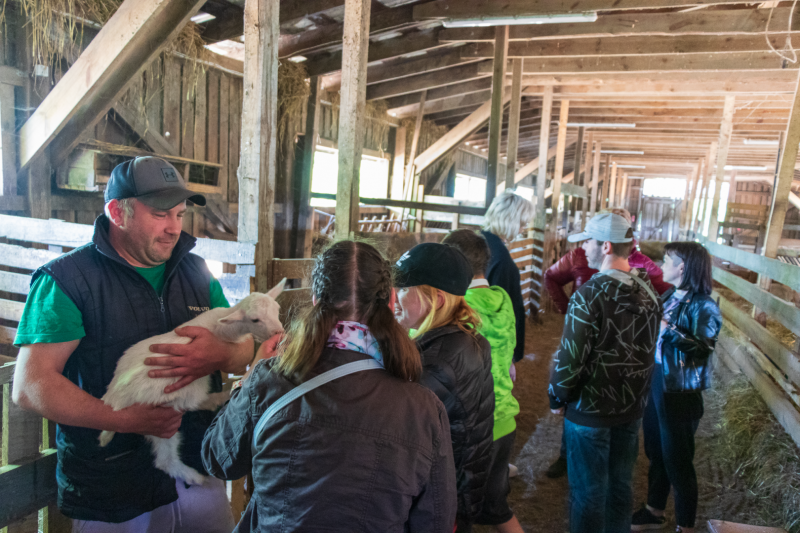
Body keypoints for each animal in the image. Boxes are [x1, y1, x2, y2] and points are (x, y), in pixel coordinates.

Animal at [98, 280, 284, 484]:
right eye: (255, 320)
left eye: (277, 310)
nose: (280, 333)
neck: (220, 328)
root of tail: (113, 401)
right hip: (165, 398)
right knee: (191, 405)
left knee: (163, 459)